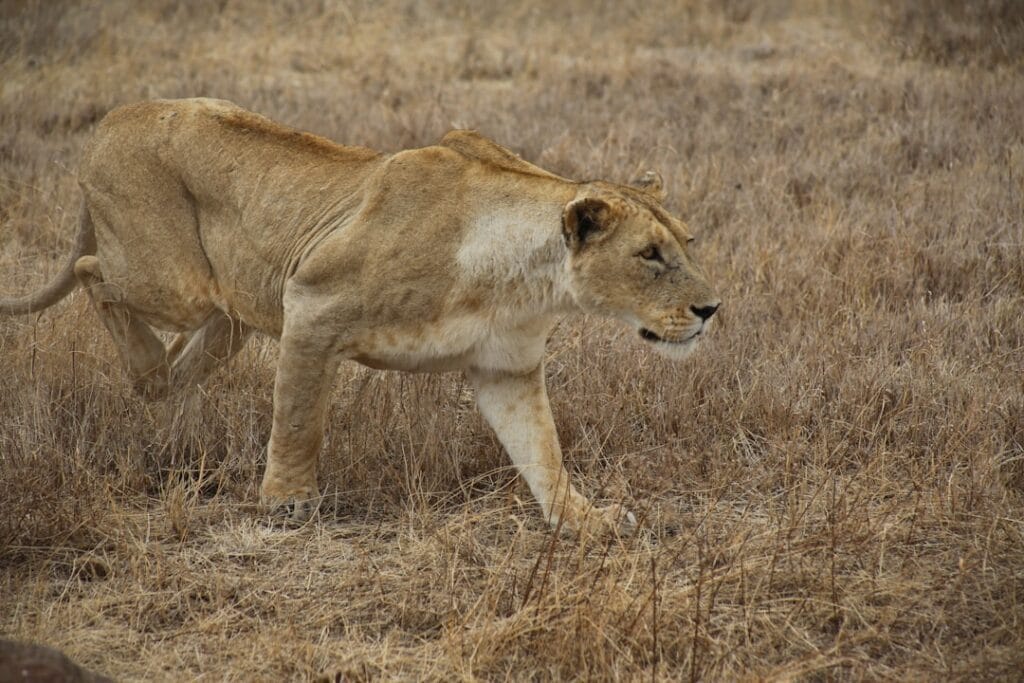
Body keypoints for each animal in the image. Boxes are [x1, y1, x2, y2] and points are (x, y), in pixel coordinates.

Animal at [1, 98, 720, 537]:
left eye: (687, 242)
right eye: (650, 255)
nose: (711, 309)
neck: (525, 280)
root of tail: (115, 115)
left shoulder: (506, 370)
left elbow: (542, 450)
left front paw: (583, 519)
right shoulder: (311, 304)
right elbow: (298, 420)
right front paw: (285, 503)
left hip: (231, 316)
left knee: (166, 374)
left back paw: (161, 400)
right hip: (177, 283)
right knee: (92, 271)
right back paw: (146, 359)